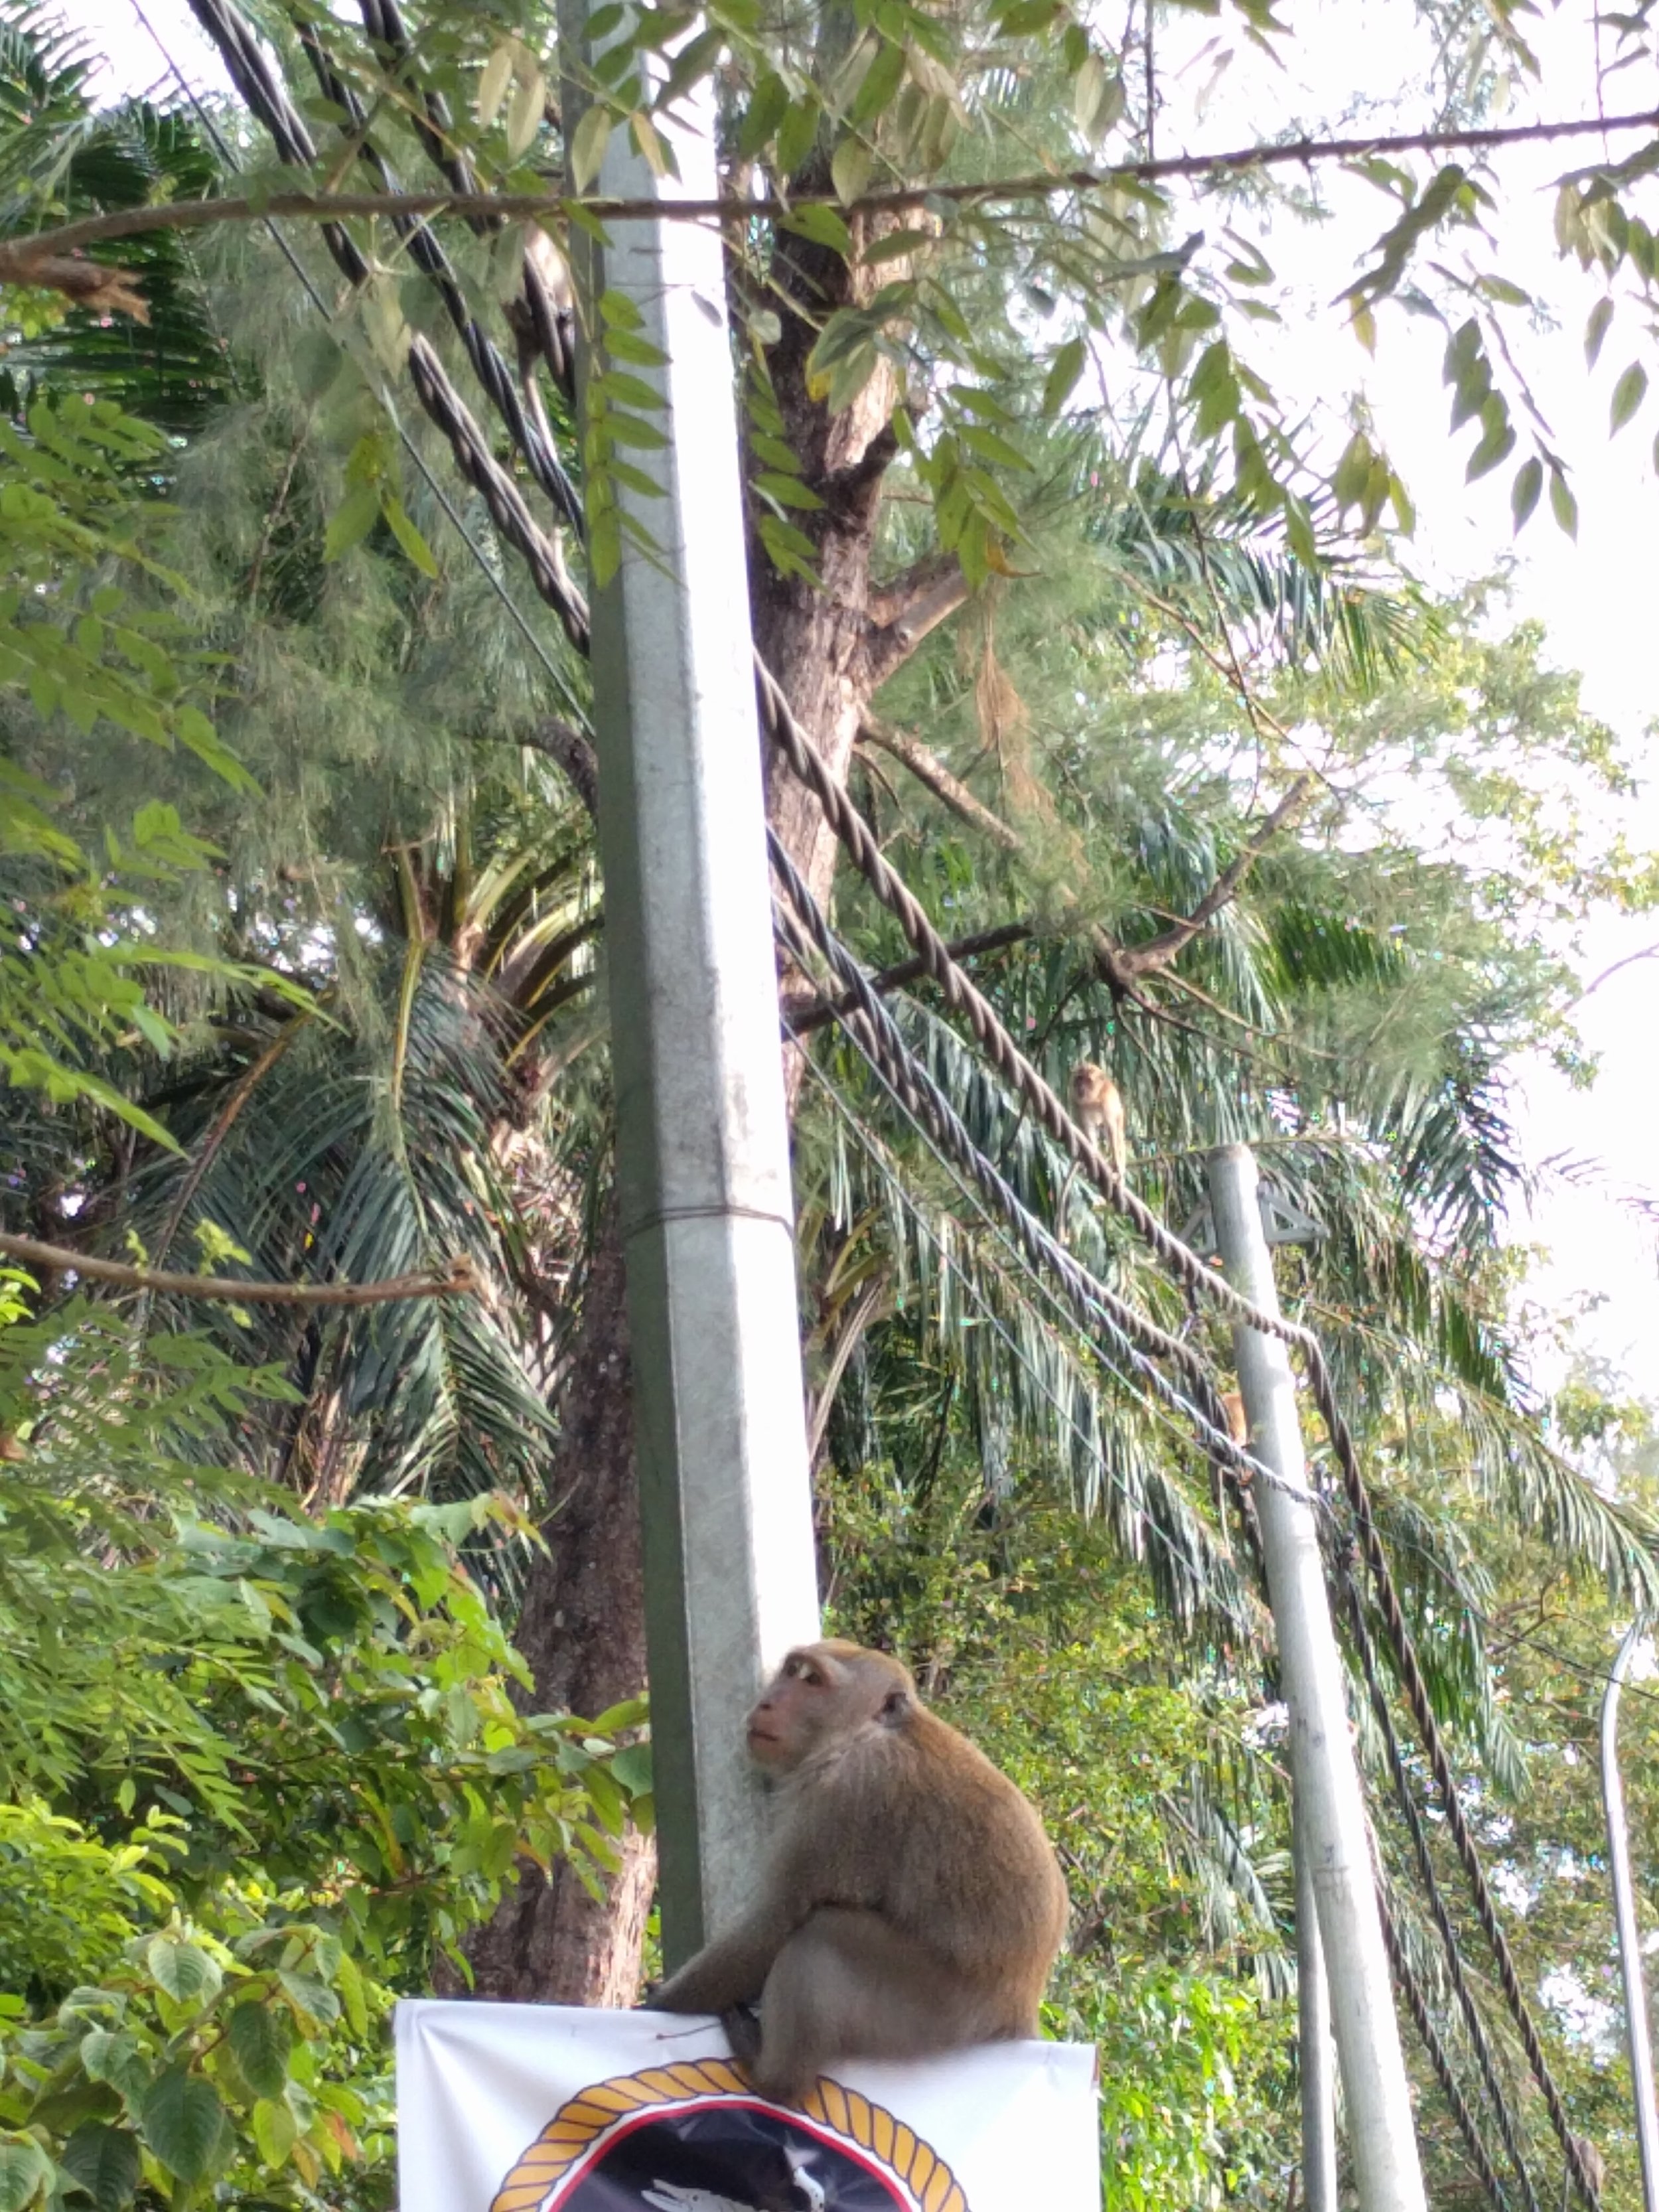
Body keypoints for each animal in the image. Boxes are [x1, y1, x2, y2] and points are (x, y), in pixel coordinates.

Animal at [651, 1639, 1069, 2107]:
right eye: (790, 1671)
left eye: (812, 1680)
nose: (767, 1702)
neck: (864, 1735)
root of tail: (1019, 2009)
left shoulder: (842, 1799)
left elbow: (775, 1923)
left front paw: (661, 2002)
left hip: (935, 2012)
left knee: (821, 1936)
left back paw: (774, 2078)